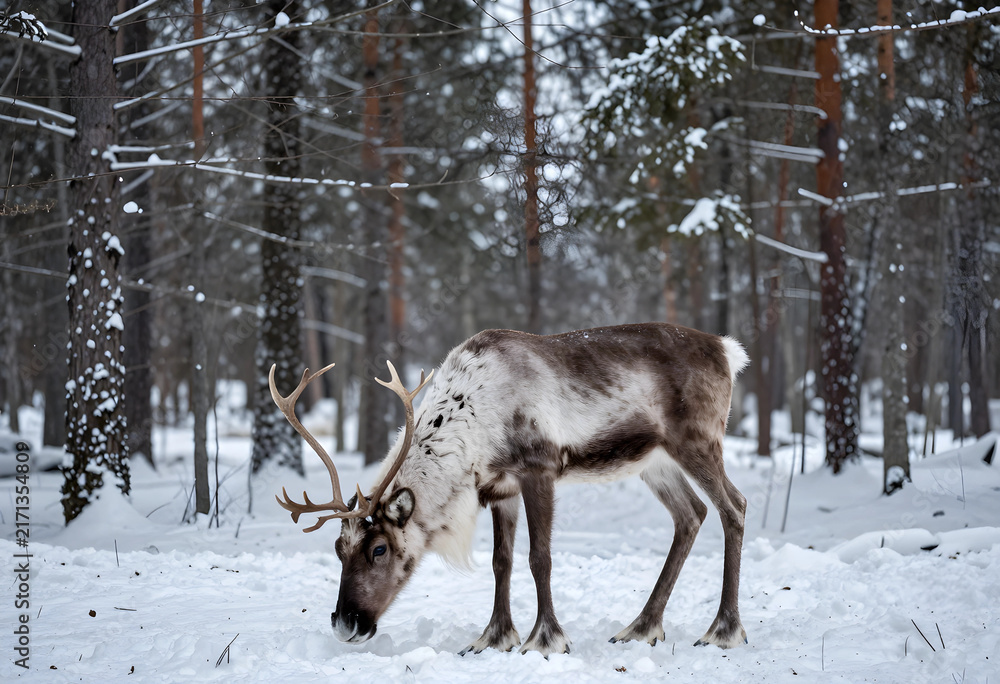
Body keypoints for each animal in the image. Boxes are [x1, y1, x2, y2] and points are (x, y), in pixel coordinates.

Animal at [269, 322, 749, 657]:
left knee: (734, 506)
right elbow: (501, 562)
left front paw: (545, 640)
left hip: (698, 442)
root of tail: (727, 350)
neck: (474, 420)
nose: (345, 624)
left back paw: (723, 630)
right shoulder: (500, 488)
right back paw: (641, 627)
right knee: (691, 515)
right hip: (655, 463)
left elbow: (540, 558)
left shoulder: (539, 469)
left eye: (380, 549)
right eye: (338, 547)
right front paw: (492, 638)